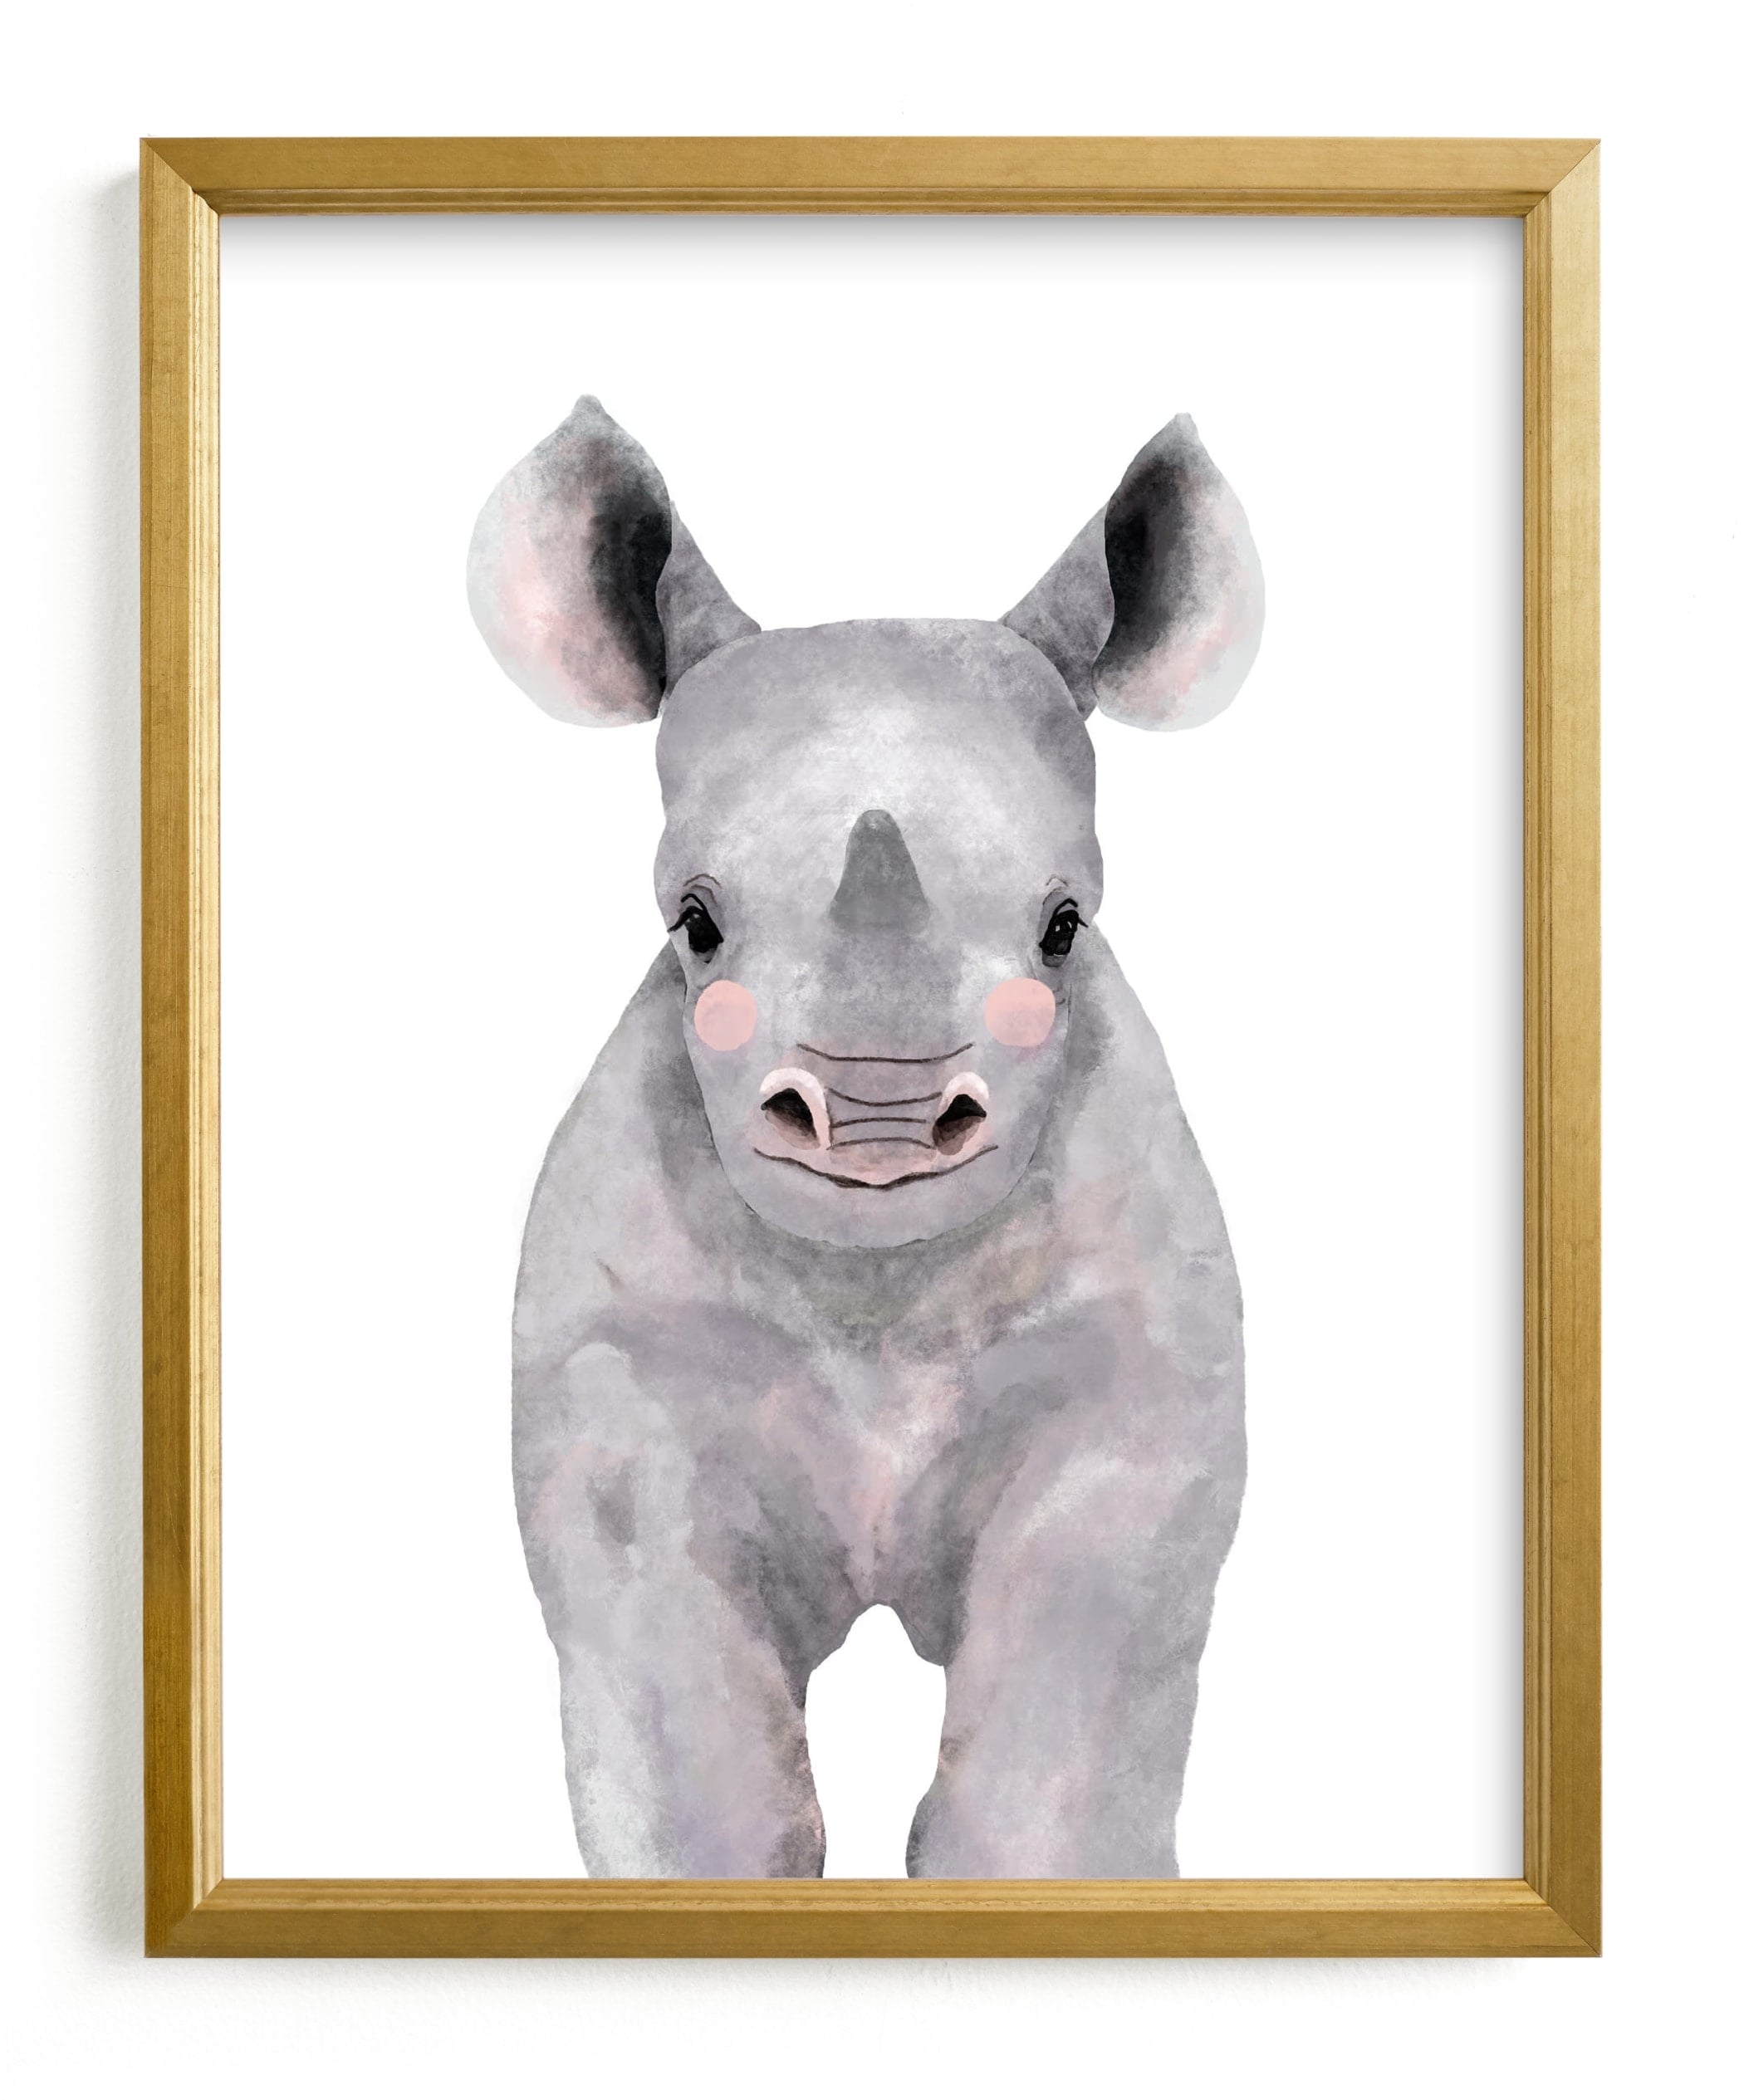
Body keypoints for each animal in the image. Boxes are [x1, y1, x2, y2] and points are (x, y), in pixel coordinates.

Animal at [467, 397, 1264, 1878]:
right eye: (693, 921)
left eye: (1065, 924)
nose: (882, 1119)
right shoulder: (622, 1381)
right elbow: (698, 1761)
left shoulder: (1137, 1383)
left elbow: (1061, 1736)